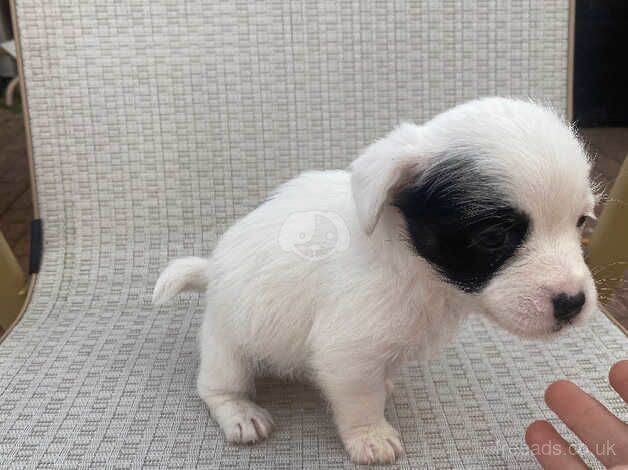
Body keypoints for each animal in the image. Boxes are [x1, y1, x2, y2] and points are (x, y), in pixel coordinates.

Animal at [153, 97, 600, 464]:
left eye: (581, 222)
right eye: (494, 237)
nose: (573, 302)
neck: (417, 271)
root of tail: (211, 269)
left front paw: (384, 386)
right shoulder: (346, 352)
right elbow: (360, 400)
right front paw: (370, 436)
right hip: (228, 347)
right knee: (215, 386)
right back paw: (240, 412)